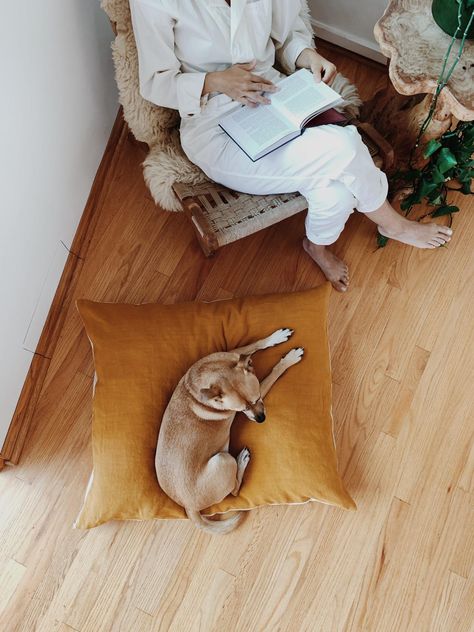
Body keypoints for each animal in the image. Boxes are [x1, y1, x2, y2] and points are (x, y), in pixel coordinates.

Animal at [156, 328, 304, 536]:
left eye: (257, 398)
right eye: (242, 409)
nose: (261, 419)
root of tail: (188, 508)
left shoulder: (231, 352)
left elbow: (253, 345)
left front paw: (276, 337)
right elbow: (273, 373)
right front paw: (288, 360)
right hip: (223, 460)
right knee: (234, 490)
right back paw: (242, 460)